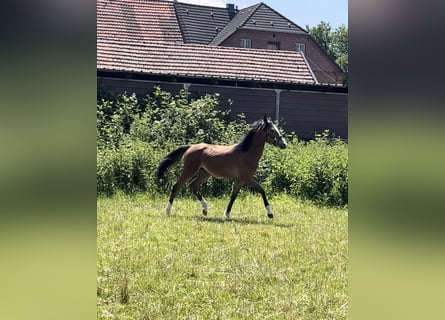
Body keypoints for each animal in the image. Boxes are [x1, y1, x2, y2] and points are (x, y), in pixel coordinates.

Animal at [158, 116, 286, 219]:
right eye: (272, 130)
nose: (284, 144)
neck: (246, 152)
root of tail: (191, 147)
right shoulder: (248, 178)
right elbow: (262, 190)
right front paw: (270, 214)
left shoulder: (241, 180)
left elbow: (233, 196)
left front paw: (227, 214)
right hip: (189, 170)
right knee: (177, 186)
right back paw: (168, 211)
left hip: (205, 173)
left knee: (192, 185)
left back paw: (205, 210)